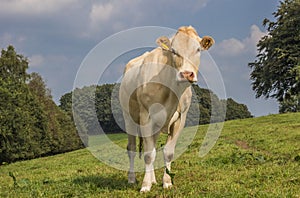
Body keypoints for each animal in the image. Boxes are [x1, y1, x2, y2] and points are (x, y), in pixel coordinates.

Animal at [118, 25, 214, 191]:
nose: (186, 74)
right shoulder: (146, 117)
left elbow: (167, 152)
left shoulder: (180, 119)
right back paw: (132, 179)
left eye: (198, 49)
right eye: (174, 51)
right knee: (132, 148)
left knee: (152, 146)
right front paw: (145, 186)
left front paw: (166, 182)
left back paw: (153, 180)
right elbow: (148, 154)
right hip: (129, 117)